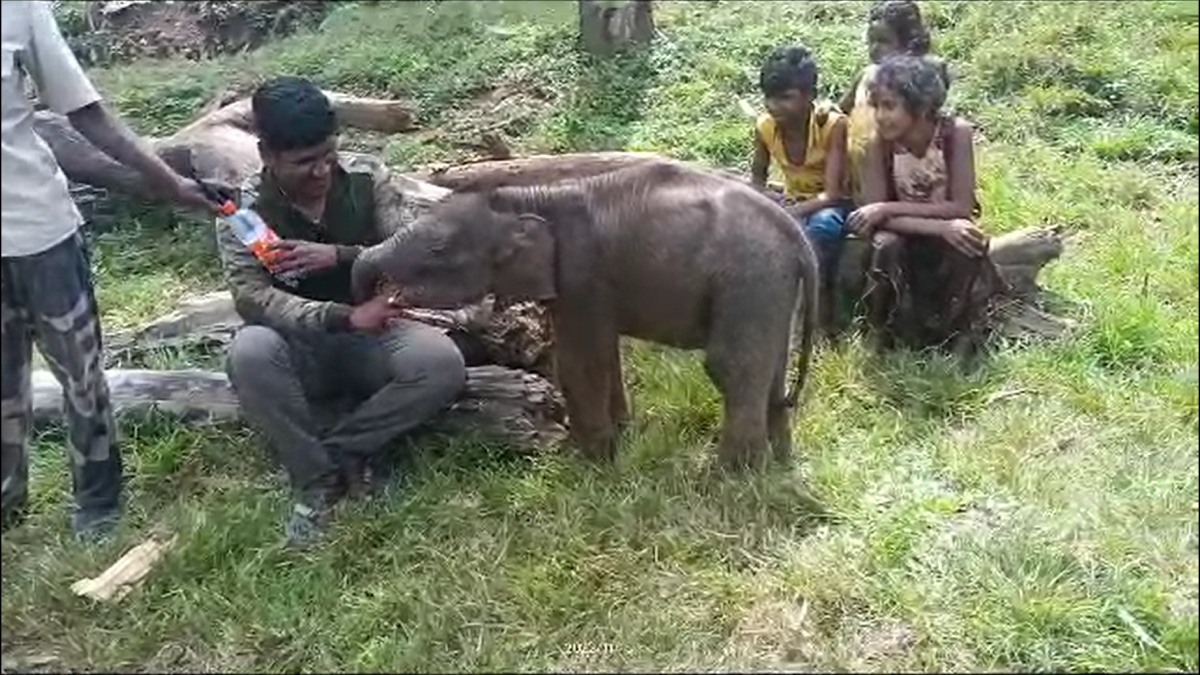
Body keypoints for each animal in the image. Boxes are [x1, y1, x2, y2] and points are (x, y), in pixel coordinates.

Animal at [351, 158, 820, 470]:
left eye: (437, 249)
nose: (367, 306)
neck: (529, 195)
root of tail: (796, 235)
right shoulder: (590, 288)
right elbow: (604, 354)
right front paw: (620, 439)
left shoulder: (581, 275)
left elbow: (580, 361)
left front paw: (588, 464)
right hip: (767, 287)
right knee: (771, 368)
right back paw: (779, 465)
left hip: (748, 275)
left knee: (731, 366)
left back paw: (728, 479)